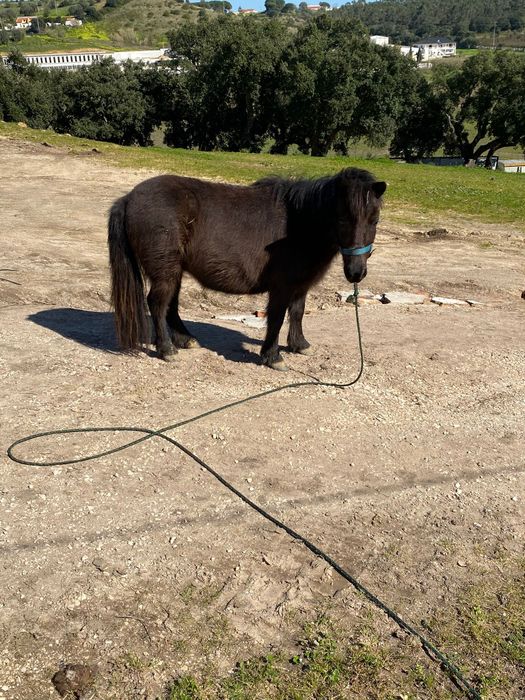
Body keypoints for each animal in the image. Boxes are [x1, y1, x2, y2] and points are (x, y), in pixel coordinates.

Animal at [107, 168, 386, 369]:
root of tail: (128, 198)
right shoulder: (282, 287)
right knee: (157, 303)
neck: (299, 224)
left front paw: (299, 345)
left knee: (170, 305)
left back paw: (185, 340)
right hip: (165, 270)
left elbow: (297, 312)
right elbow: (277, 318)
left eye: (375, 220)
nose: (356, 273)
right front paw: (272, 356)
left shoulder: (300, 285)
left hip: (174, 270)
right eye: (341, 218)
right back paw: (167, 349)